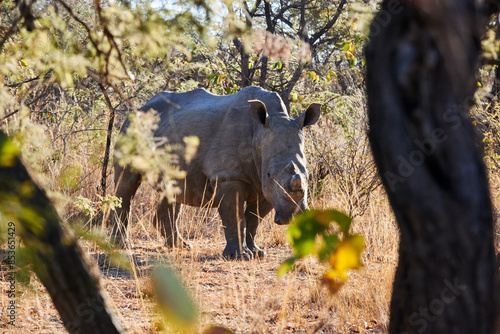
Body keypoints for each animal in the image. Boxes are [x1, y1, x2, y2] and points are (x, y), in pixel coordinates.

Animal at [112, 85, 322, 258]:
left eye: (307, 175)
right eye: (270, 174)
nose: (292, 216)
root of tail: (141, 107)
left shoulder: (264, 186)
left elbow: (254, 219)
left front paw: (257, 252)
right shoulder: (228, 176)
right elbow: (234, 216)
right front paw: (239, 256)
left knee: (173, 188)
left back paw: (181, 246)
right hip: (130, 129)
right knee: (126, 184)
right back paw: (121, 245)